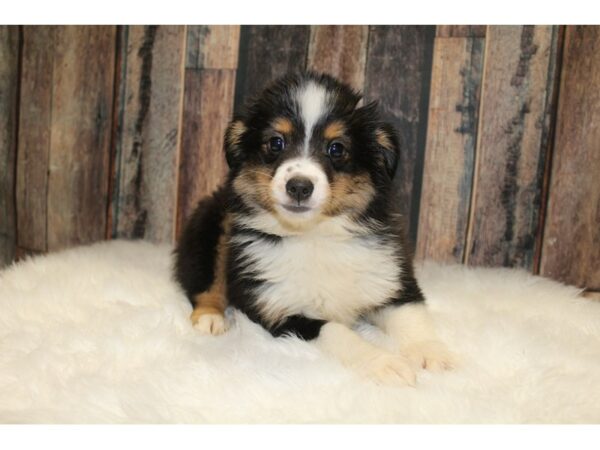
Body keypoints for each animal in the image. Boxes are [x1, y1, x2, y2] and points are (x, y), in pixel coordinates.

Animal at [176, 72, 452, 384]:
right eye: (276, 143)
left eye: (336, 148)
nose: (299, 186)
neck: (316, 235)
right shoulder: (284, 312)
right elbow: (338, 332)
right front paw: (385, 363)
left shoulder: (392, 276)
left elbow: (412, 313)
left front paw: (432, 354)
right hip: (211, 229)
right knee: (205, 282)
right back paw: (211, 318)